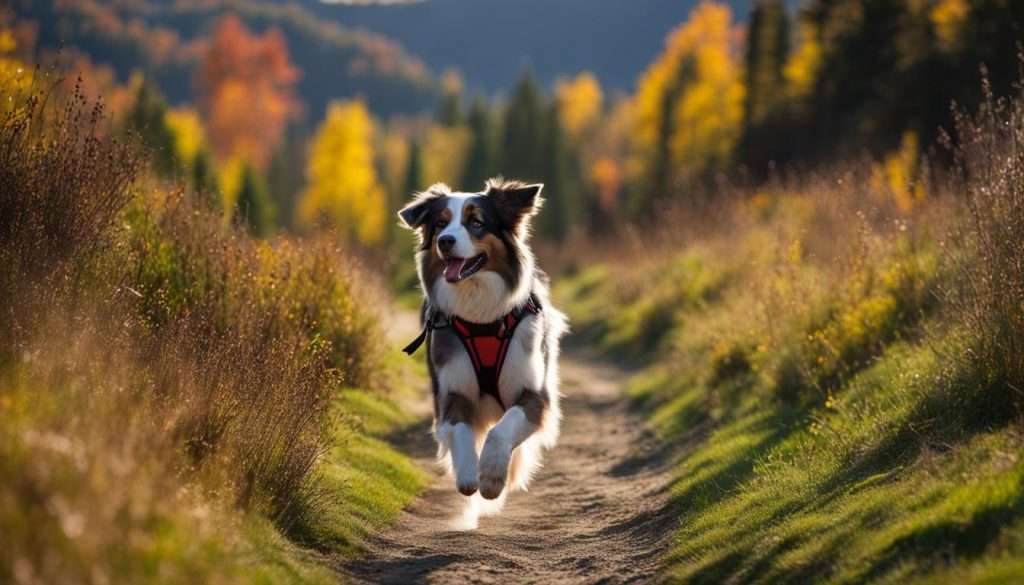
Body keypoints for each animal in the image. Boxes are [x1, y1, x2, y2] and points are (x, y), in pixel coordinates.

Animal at [397, 176, 569, 510]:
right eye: (440, 224)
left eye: (476, 222)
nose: (445, 241)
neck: (482, 317)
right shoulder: (452, 393)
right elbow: (461, 432)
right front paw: (468, 474)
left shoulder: (534, 395)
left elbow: (502, 430)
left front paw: (491, 476)